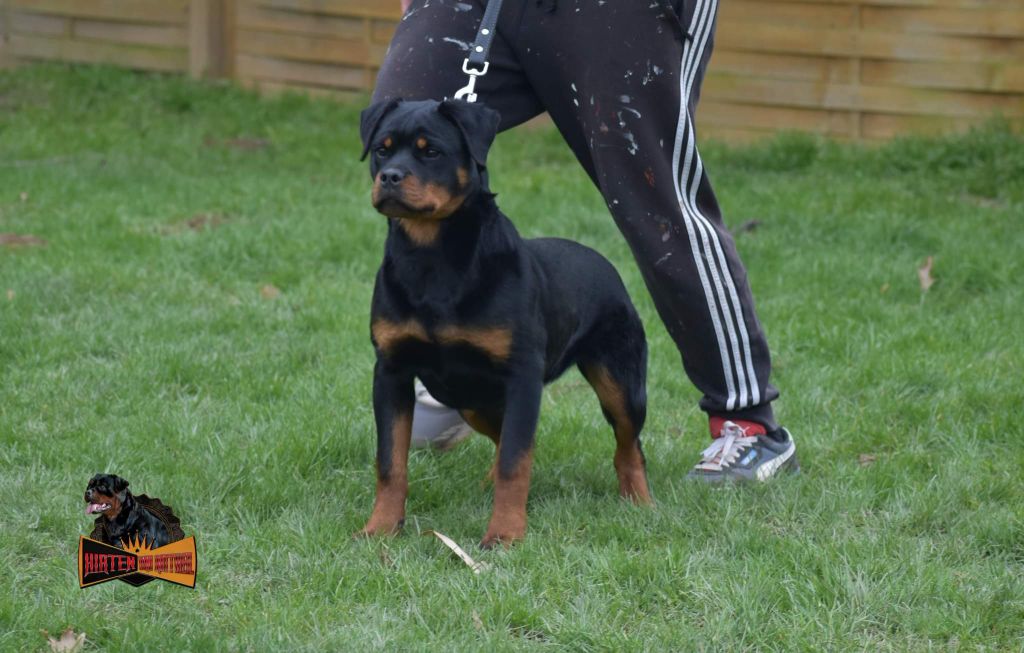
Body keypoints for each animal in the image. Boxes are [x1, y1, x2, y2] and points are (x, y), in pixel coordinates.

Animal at [357, 98, 651, 548]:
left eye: (431, 152)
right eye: (381, 150)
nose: (389, 176)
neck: (431, 258)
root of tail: (605, 264)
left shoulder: (522, 377)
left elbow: (516, 461)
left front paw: (506, 534)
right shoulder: (391, 372)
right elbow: (391, 462)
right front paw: (381, 528)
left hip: (620, 381)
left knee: (628, 444)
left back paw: (639, 502)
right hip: (469, 400)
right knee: (502, 439)